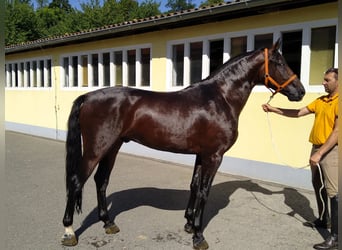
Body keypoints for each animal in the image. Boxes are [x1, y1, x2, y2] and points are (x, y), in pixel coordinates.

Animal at [60, 40, 304, 249]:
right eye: (279, 62)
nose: (300, 91)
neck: (221, 98)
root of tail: (87, 97)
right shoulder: (214, 156)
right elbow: (204, 191)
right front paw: (198, 235)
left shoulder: (201, 154)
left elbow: (194, 186)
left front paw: (188, 224)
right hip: (96, 149)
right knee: (76, 181)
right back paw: (69, 231)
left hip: (112, 147)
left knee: (101, 180)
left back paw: (108, 223)